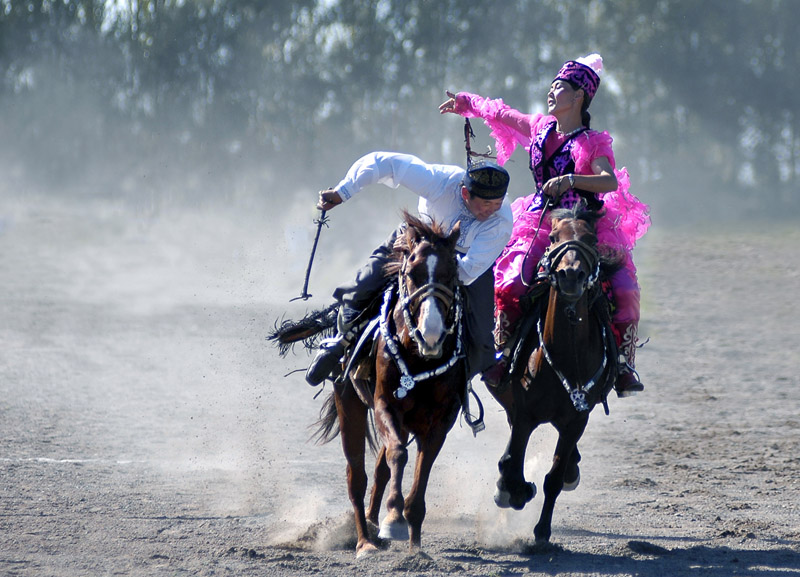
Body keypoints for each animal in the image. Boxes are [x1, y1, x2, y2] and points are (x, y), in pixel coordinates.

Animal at [282, 213, 468, 560]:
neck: (418, 357)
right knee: (357, 476)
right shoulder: (385, 404)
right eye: (411, 273)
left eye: (452, 273)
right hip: (349, 401)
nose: (431, 334)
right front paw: (394, 519)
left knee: (379, 470)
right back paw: (364, 541)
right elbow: (397, 455)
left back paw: (374, 525)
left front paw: (415, 546)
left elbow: (420, 475)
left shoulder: (439, 422)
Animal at [494, 205, 620, 544]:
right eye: (552, 237)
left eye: (591, 238)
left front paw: (542, 531)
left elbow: (553, 477)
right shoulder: (524, 415)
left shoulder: (577, 419)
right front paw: (513, 492)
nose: (570, 275)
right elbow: (512, 462)